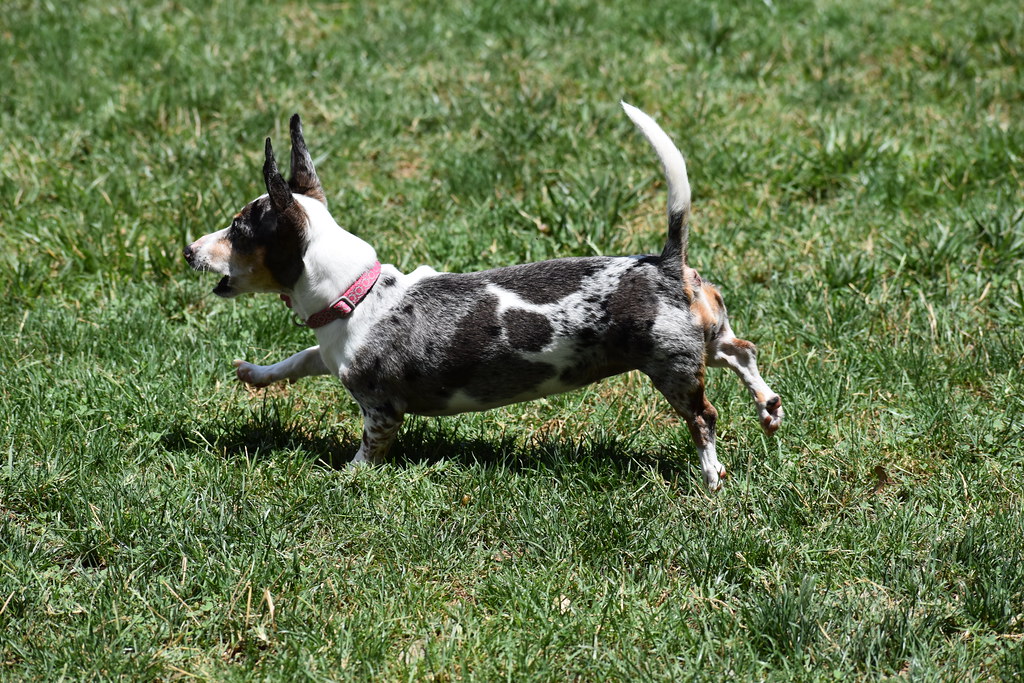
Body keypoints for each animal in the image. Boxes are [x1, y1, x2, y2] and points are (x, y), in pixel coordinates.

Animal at [182, 102, 782, 491]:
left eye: (238, 229)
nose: (187, 250)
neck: (357, 293)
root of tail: (665, 262)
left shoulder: (381, 411)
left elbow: (366, 451)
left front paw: (342, 478)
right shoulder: (326, 356)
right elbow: (298, 361)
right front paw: (254, 374)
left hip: (669, 368)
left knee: (704, 416)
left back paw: (712, 474)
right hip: (704, 337)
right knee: (741, 351)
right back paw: (769, 407)